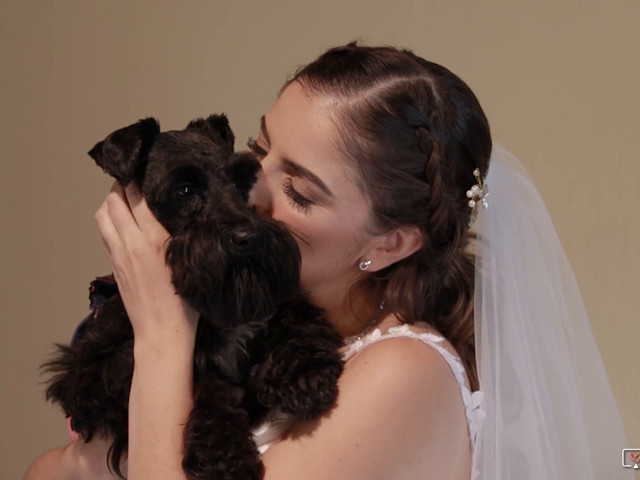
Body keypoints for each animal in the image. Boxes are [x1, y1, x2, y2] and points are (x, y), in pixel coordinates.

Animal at [43, 116, 344, 480]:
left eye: (241, 179)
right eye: (184, 190)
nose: (249, 236)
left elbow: (293, 317)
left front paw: (302, 372)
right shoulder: (92, 374)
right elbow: (207, 378)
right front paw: (224, 453)